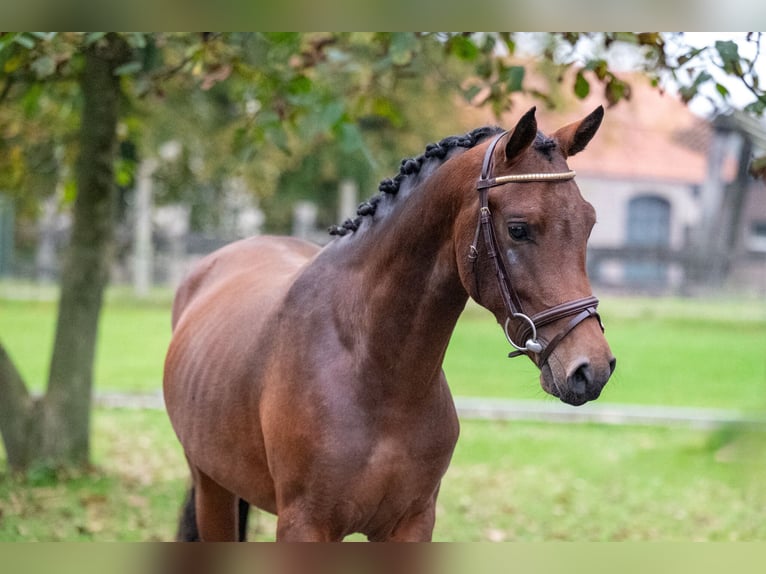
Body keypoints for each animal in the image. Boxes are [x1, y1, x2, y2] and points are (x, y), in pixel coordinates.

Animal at [164, 106, 616, 544]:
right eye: (518, 228)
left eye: (589, 223)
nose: (591, 369)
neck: (378, 375)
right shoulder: (305, 525)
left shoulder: (412, 523)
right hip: (212, 488)